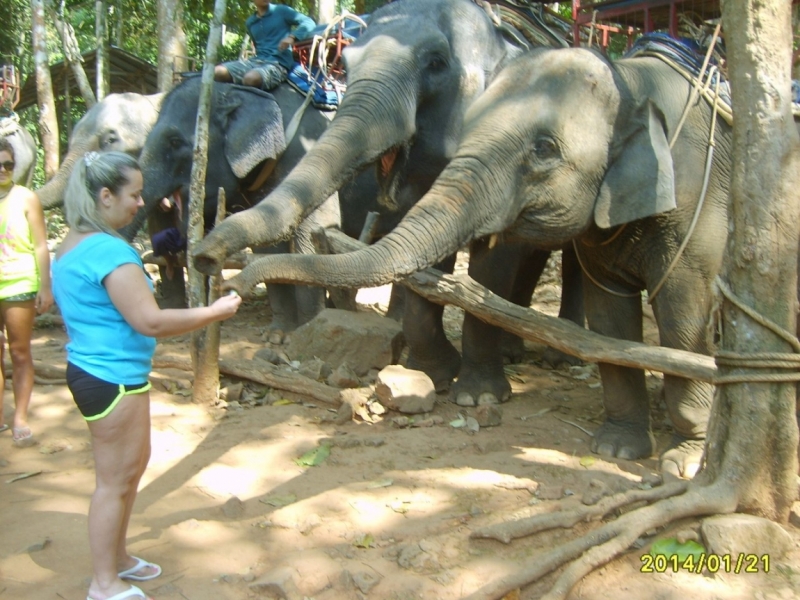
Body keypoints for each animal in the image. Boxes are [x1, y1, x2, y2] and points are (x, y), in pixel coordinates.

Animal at [136, 73, 386, 330]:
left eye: (175, 142)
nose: (202, 257)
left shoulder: (307, 151)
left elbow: (310, 235)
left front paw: (307, 328)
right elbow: (267, 247)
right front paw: (278, 333)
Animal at [191, 0, 584, 406]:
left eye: (436, 63)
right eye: (345, 65)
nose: (205, 260)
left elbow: (493, 262)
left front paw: (478, 398)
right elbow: (426, 262)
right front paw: (433, 374)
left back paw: (558, 358)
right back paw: (512, 351)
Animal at [220, 47, 744, 478]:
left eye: (544, 149)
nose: (230, 279)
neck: (630, 80)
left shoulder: (698, 209)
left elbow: (682, 317)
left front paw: (684, 459)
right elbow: (611, 319)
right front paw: (617, 449)